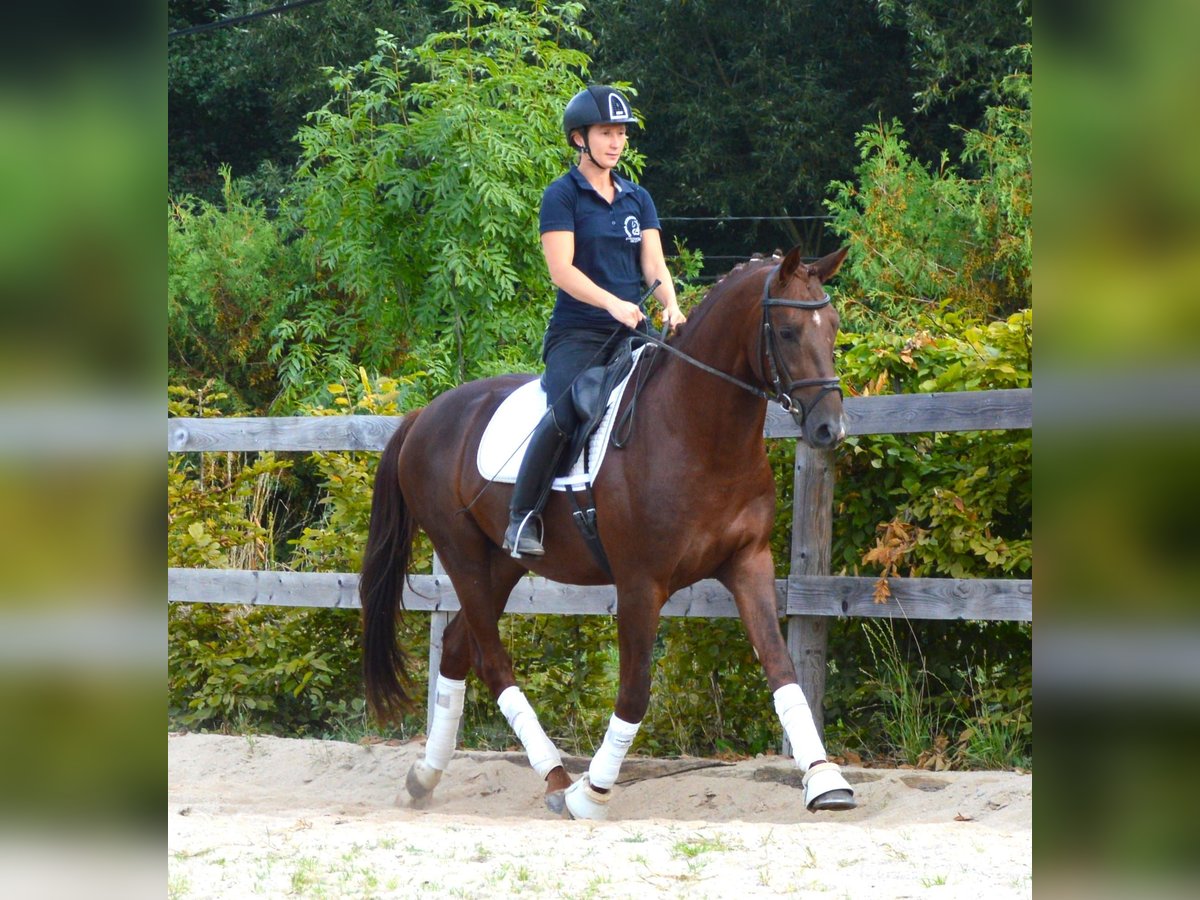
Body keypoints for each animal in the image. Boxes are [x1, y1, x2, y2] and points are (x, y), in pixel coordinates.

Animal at [360, 244, 859, 816]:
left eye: (833, 328)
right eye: (789, 332)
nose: (830, 429)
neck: (698, 432)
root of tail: (424, 415)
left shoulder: (748, 562)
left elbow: (782, 668)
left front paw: (825, 781)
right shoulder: (641, 582)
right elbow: (636, 691)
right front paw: (592, 792)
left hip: (502, 563)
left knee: (460, 648)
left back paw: (425, 777)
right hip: (461, 553)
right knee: (491, 659)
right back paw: (557, 779)